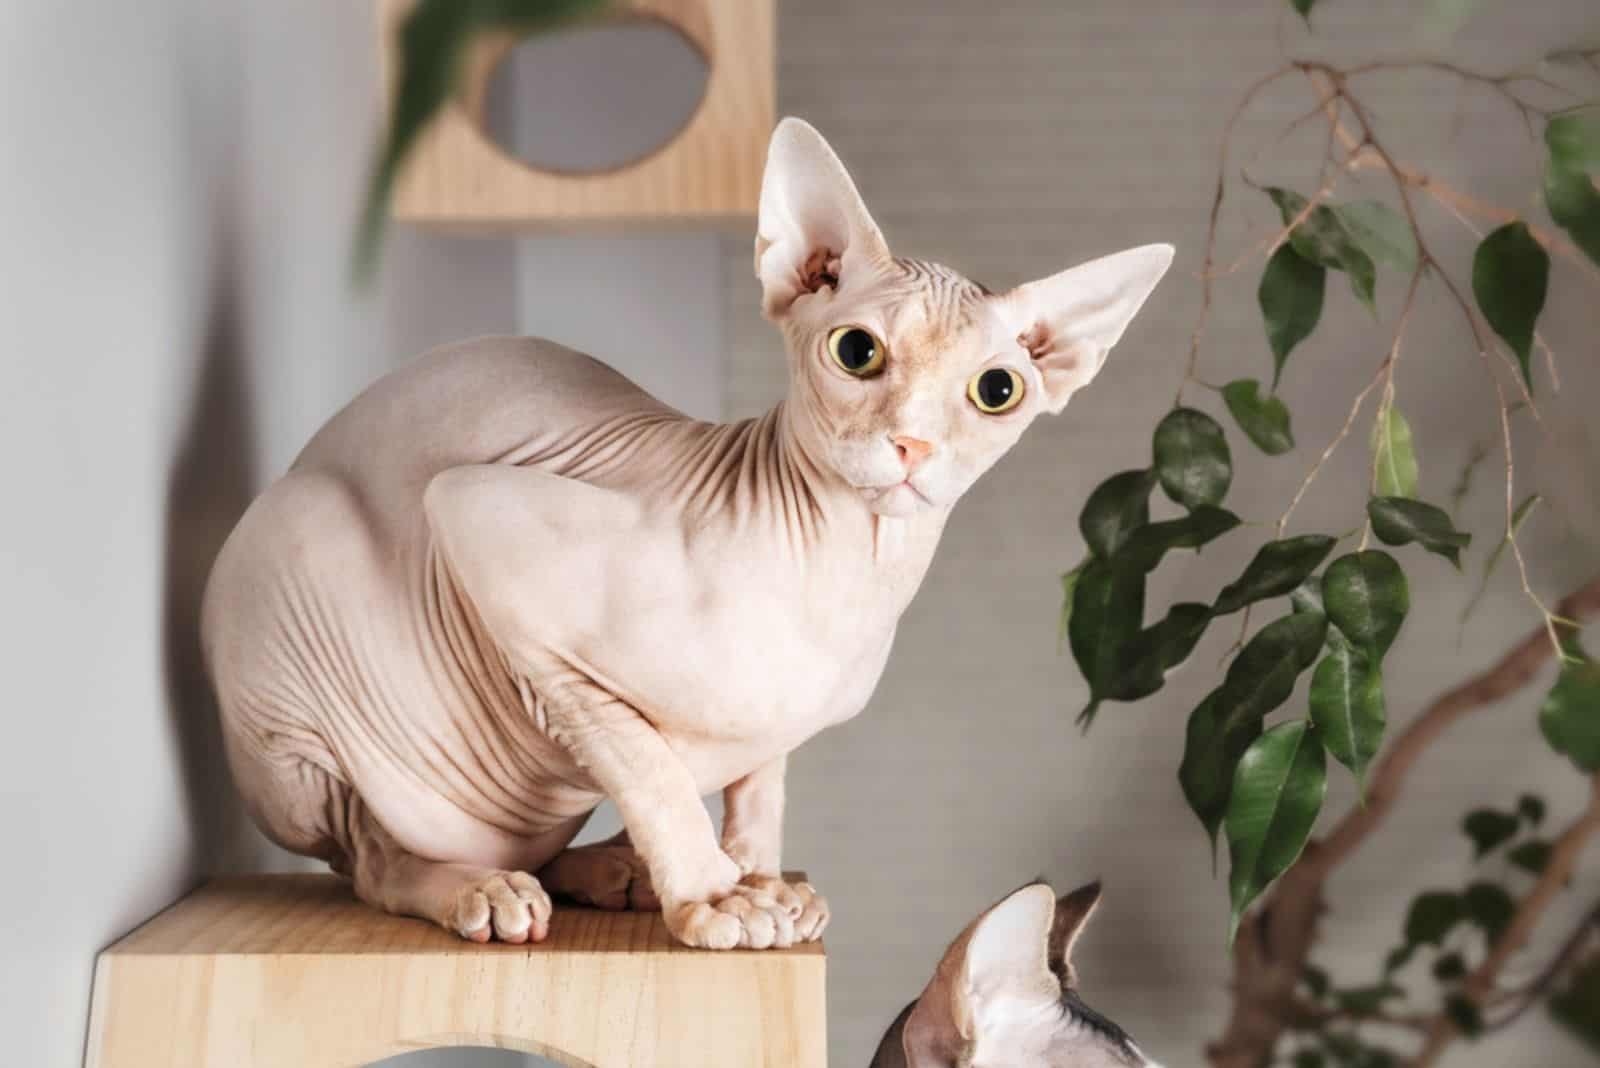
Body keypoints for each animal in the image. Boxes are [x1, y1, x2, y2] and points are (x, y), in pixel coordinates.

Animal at [203, 119, 1177, 952]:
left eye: (996, 391)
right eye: (856, 352)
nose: (912, 446)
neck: (843, 576)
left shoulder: (783, 721)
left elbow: (762, 785)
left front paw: (760, 877)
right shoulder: (480, 527)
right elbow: (642, 759)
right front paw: (713, 895)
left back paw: (605, 870)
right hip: (296, 566)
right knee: (367, 856)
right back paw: (479, 886)